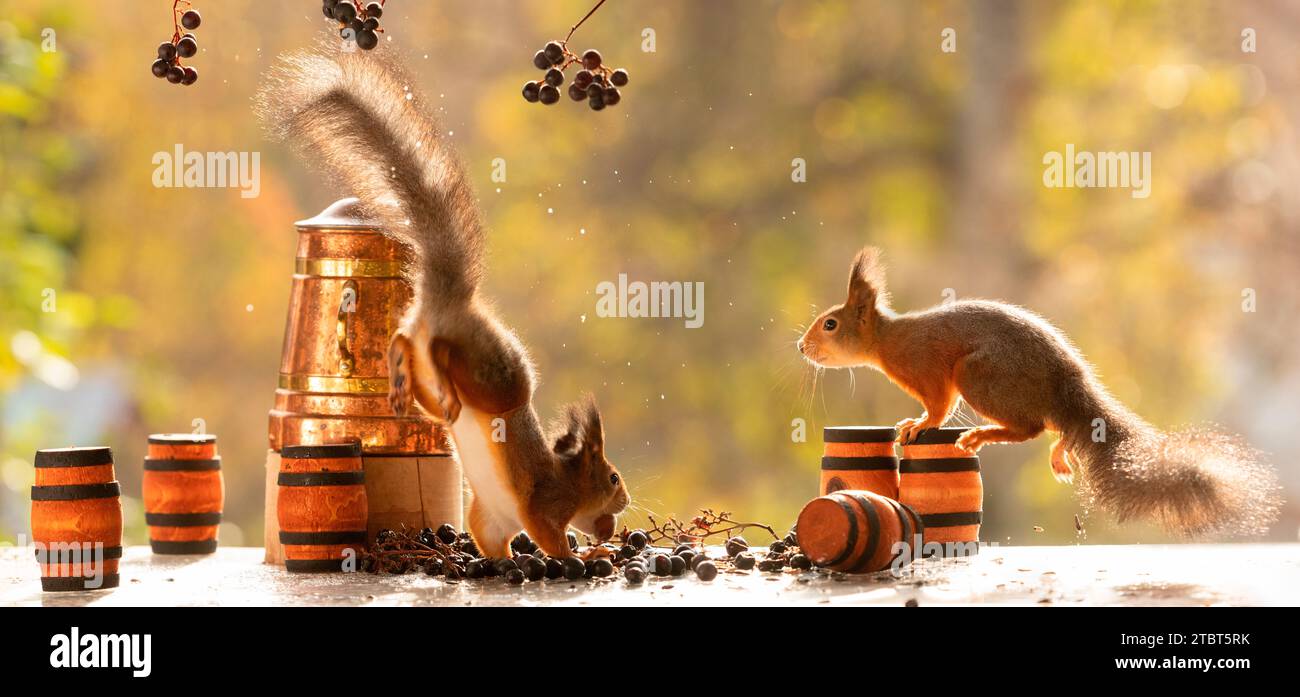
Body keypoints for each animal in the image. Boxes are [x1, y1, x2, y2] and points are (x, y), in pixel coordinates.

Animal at [257, 42, 629, 559]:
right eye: (612, 478)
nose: (627, 501)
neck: (569, 483)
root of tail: (450, 299)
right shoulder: (543, 507)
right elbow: (550, 539)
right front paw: (587, 556)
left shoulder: (491, 519)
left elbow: (493, 543)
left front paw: (518, 562)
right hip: (492, 382)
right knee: (446, 355)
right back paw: (436, 367)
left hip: (431, 380)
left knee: (409, 347)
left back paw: (398, 374)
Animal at [799, 247, 1279, 537]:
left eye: (830, 324)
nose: (802, 347)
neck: (887, 342)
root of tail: (1069, 383)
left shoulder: (929, 370)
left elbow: (939, 407)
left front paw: (918, 425)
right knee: (1052, 427)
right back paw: (1060, 450)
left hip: (980, 376)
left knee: (1029, 427)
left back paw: (981, 435)